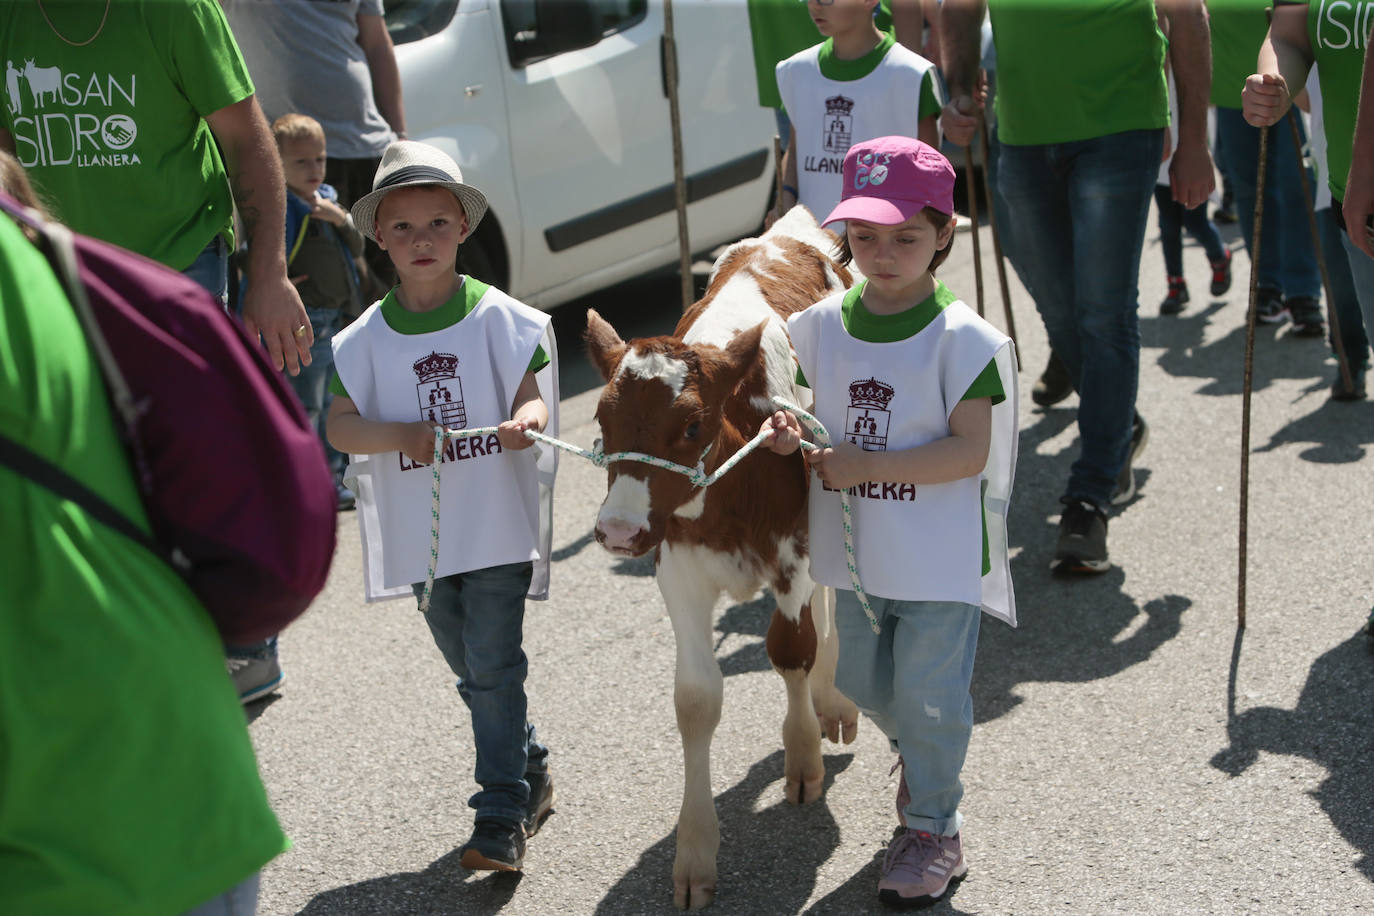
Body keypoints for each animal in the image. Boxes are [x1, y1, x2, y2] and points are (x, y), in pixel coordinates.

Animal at [588, 210, 862, 911]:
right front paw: (695, 851)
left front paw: (803, 758)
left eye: (691, 426)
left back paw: (833, 702)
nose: (619, 530)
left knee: (830, 608)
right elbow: (695, 701)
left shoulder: (793, 550)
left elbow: (791, 648)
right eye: (602, 420)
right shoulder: (677, 568)